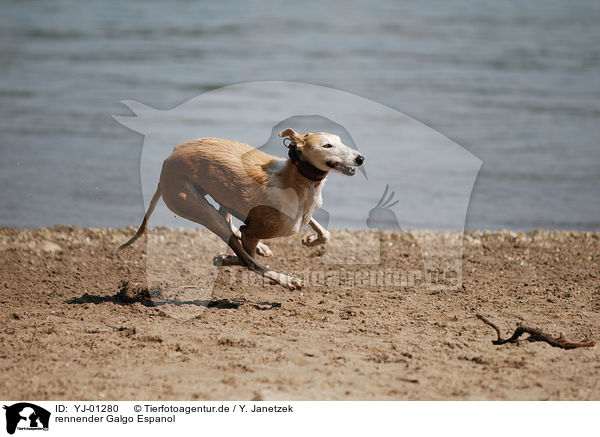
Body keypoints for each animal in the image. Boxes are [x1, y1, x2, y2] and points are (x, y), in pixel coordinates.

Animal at [115, 127, 364, 288]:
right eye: (327, 145)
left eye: (340, 140)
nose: (360, 158)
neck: (296, 180)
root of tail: (168, 160)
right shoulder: (253, 230)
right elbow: (246, 257)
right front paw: (224, 258)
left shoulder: (303, 214)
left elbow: (325, 233)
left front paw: (311, 239)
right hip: (199, 208)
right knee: (248, 259)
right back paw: (287, 280)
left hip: (218, 196)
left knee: (229, 222)